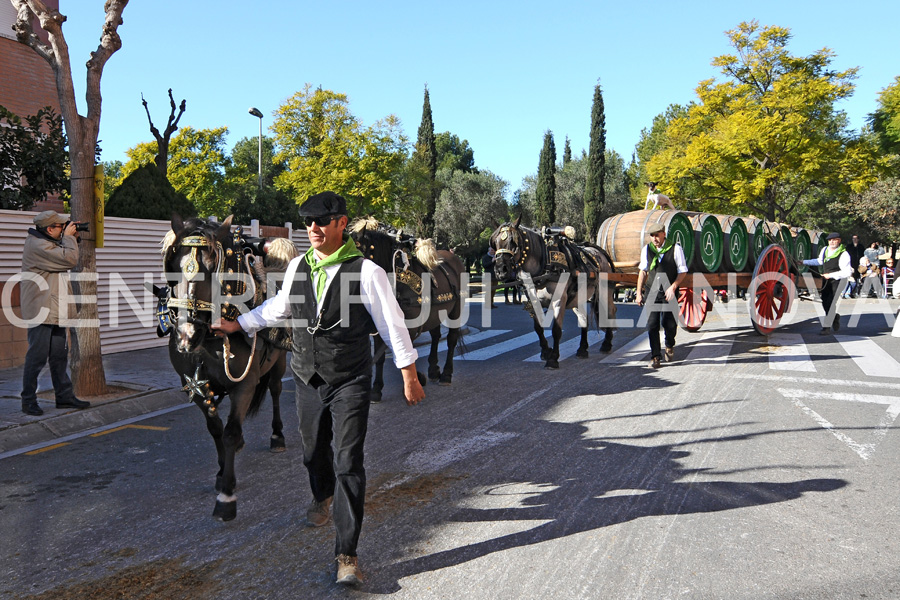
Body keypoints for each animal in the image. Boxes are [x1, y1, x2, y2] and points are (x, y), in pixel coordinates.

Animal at [350, 218, 468, 400]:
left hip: (456, 310)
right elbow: (380, 357)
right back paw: (433, 369)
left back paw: (446, 374)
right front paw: (376, 389)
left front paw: (415, 380)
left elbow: (406, 351)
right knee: (436, 336)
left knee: (451, 339)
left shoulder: (410, 326)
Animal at [488, 218, 616, 368]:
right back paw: (583, 348)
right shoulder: (533, 301)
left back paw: (607, 343)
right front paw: (545, 351)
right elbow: (538, 328)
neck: (544, 266)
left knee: (610, 311)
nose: (500, 270)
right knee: (583, 319)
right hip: (578, 297)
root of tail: (598, 251)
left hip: (604, 292)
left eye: (514, 242)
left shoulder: (559, 300)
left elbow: (556, 330)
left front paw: (553, 358)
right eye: (495, 243)